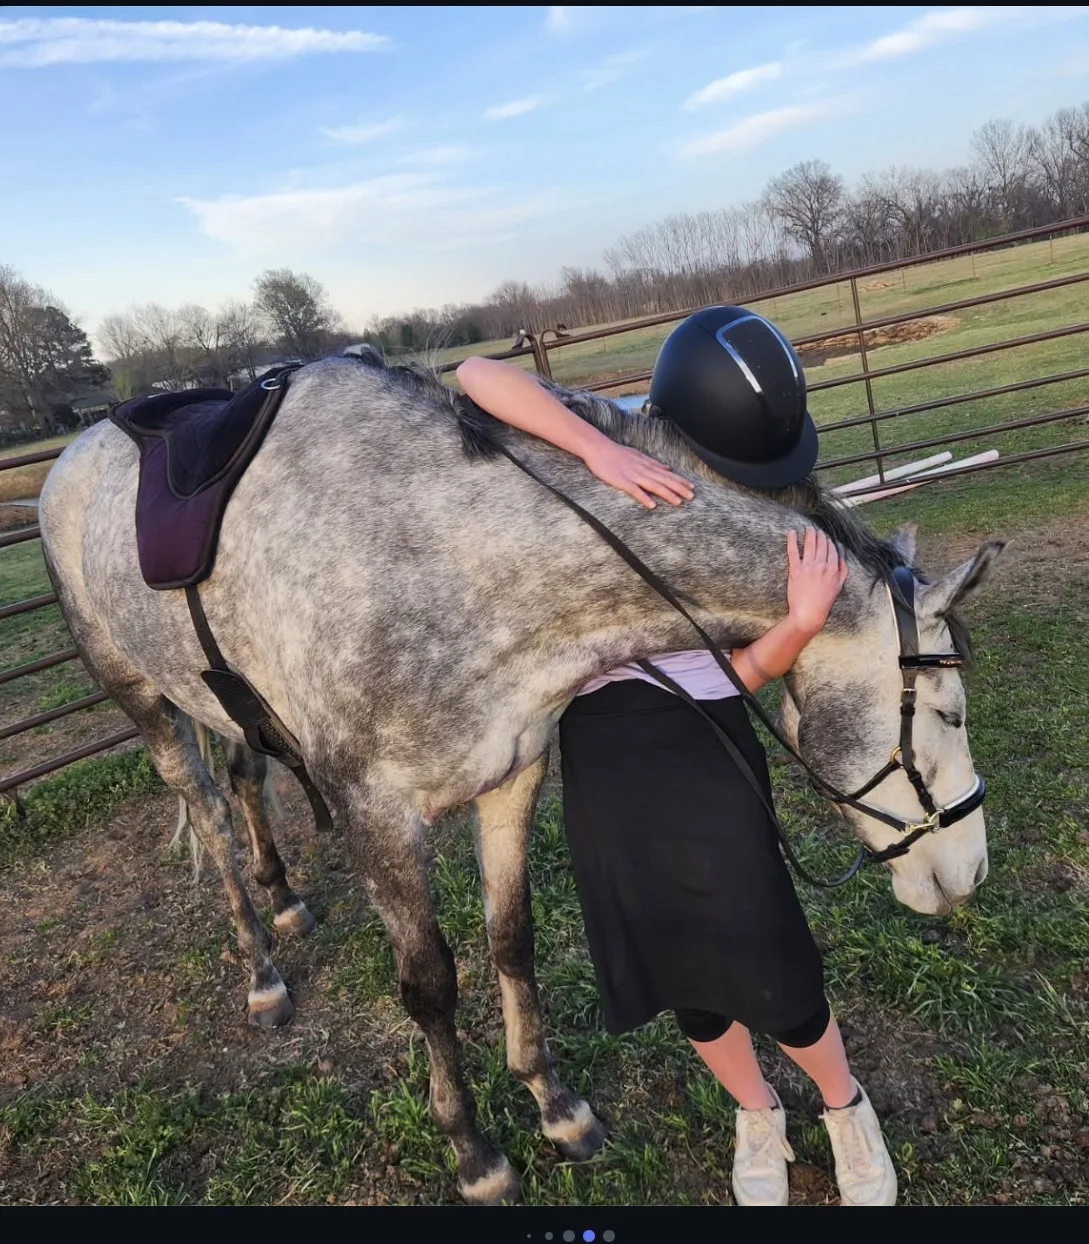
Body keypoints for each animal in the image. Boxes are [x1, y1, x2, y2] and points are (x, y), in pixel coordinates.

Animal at [37, 348, 1003, 1204]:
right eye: (950, 714)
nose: (971, 873)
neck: (448, 559)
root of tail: (74, 457)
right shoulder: (376, 816)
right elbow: (429, 985)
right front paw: (475, 1155)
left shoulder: (513, 773)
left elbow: (511, 937)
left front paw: (554, 1107)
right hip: (143, 700)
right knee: (205, 813)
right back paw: (262, 970)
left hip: (217, 698)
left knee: (244, 777)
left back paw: (284, 898)